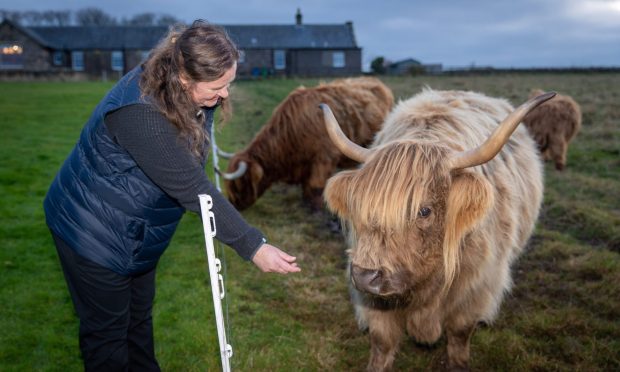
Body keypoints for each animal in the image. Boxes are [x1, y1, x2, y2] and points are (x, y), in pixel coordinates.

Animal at [224, 77, 392, 211]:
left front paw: (316, 208)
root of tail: (375, 81)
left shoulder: (324, 158)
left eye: (240, 184)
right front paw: (306, 203)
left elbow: (315, 186)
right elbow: (306, 187)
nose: (234, 204)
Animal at [322, 88, 556, 370]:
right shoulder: (372, 302)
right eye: (360, 206)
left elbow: (459, 336)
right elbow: (381, 343)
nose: (366, 276)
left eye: (424, 211)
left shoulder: (475, 291)